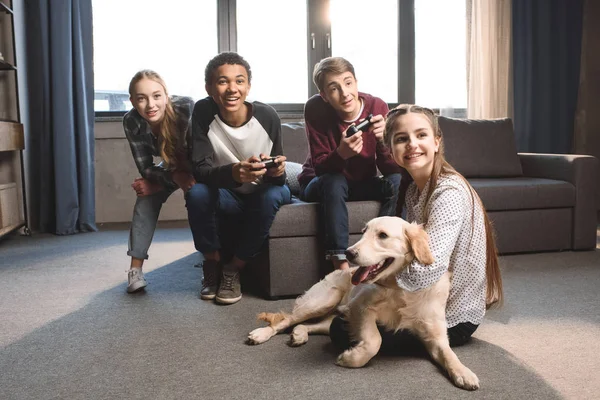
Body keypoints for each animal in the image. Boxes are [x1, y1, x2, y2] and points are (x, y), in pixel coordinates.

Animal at [246, 216, 480, 390]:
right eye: (364, 231)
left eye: (382, 235)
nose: (348, 253)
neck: (400, 289)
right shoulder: (359, 307)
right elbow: (374, 341)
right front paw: (351, 358)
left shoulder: (435, 334)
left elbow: (449, 354)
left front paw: (464, 373)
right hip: (323, 301)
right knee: (285, 320)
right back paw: (260, 334)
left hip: (334, 316)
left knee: (309, 325)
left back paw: (299, 334)